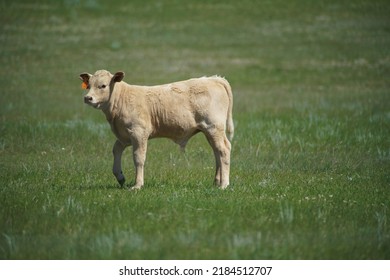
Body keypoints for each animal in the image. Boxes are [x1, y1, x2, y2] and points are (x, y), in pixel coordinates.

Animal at [77, 69, 233, 190]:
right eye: (88, 85)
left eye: (103, 85)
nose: (88, 98)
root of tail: (213, 79)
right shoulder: (124, 136)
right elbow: (116, 151)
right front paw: (120, 177)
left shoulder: (138, 133)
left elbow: (138, 158)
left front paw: (137, 185)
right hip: (210, 131)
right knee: (217, 152)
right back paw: (217, 181)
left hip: (213, 127)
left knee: (223, 150)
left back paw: (224, 184)